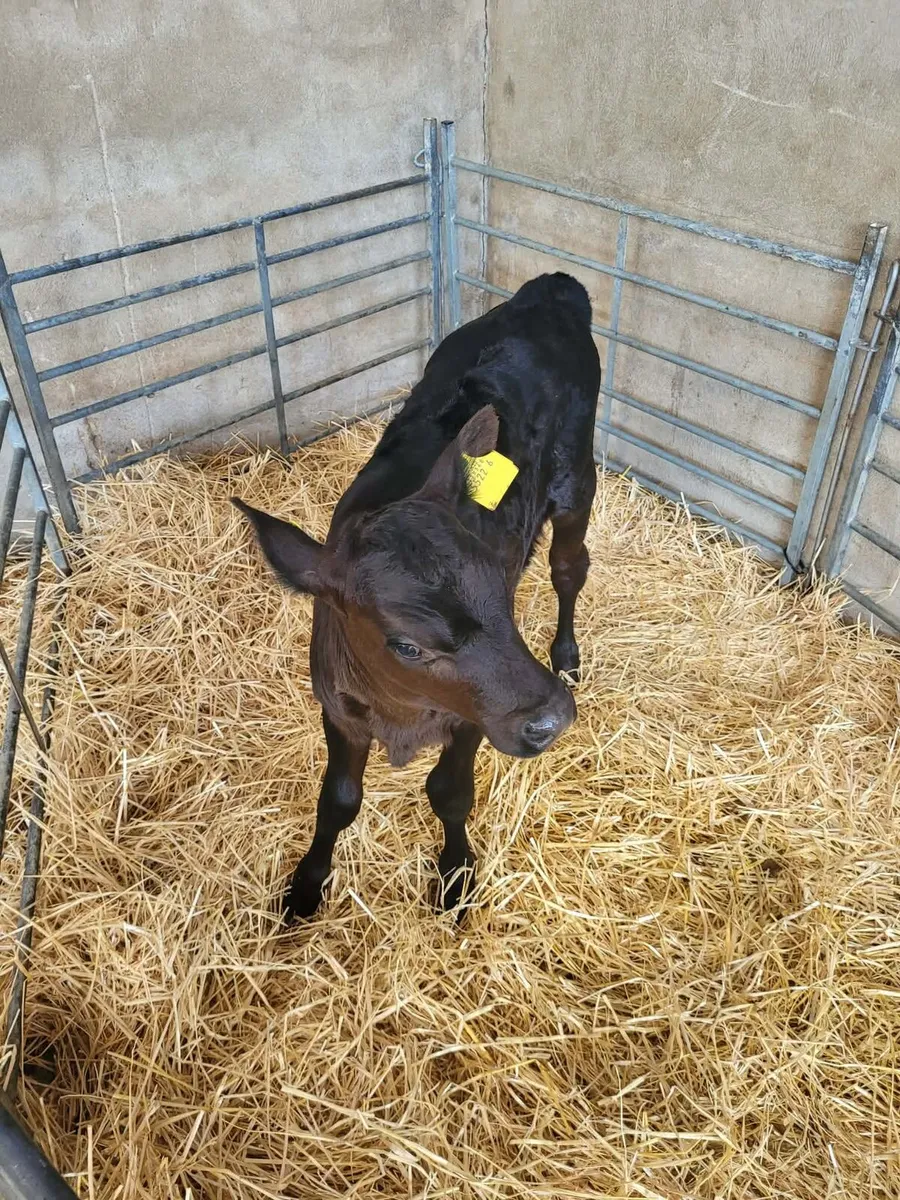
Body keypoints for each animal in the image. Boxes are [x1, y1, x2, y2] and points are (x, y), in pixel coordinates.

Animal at [233, 271, 600, 920]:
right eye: (405, 645)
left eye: (502, 597)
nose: (552, 720)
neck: (400, 714)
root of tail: (552, 288)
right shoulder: (338, 708)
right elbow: (338, 800)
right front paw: (305, 887)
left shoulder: (472, 720)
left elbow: (449, 794)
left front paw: (454, 875)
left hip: (577, 479)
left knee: (567, 570)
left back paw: (566, 655)